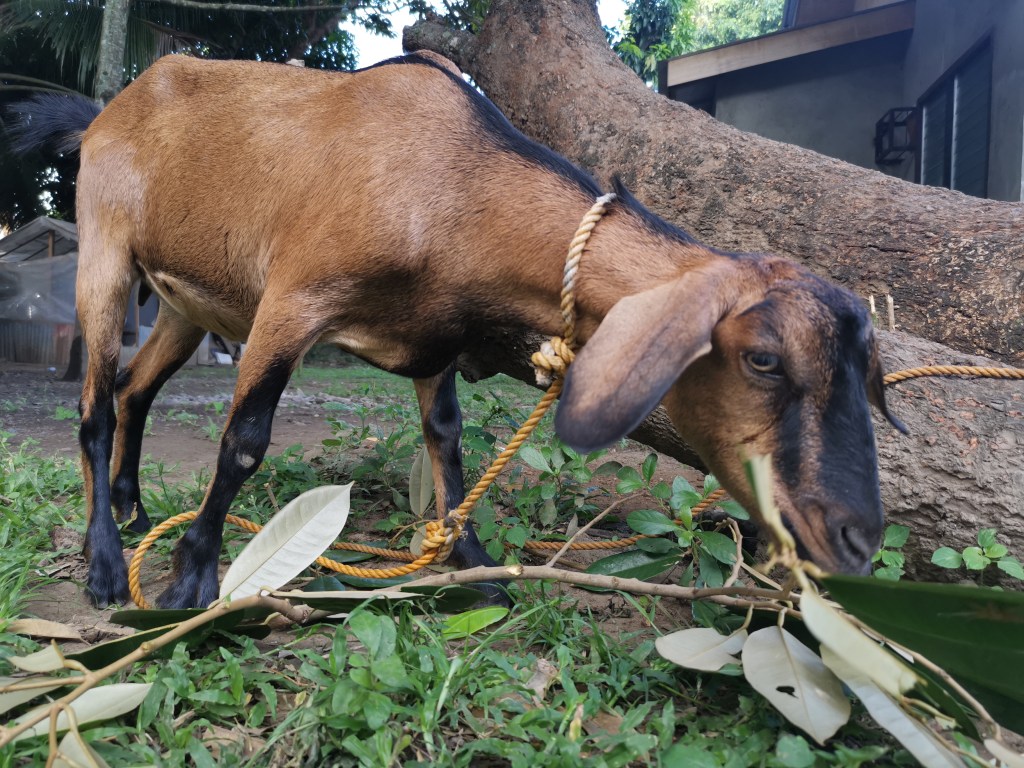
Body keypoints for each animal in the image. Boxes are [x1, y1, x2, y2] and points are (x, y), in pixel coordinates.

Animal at [10, 52, 904, 609]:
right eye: (763, 359)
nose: (856, 539)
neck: (449, 179)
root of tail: (109, 110)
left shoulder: (433, 336)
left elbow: (447, 438)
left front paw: (474, 566)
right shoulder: (292, 301)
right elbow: (244, 442)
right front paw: (191, 581)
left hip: (187, 305)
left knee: (134, 390)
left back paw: (130, 507)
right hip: (105, 247)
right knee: (93, 408)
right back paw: (103, 563)